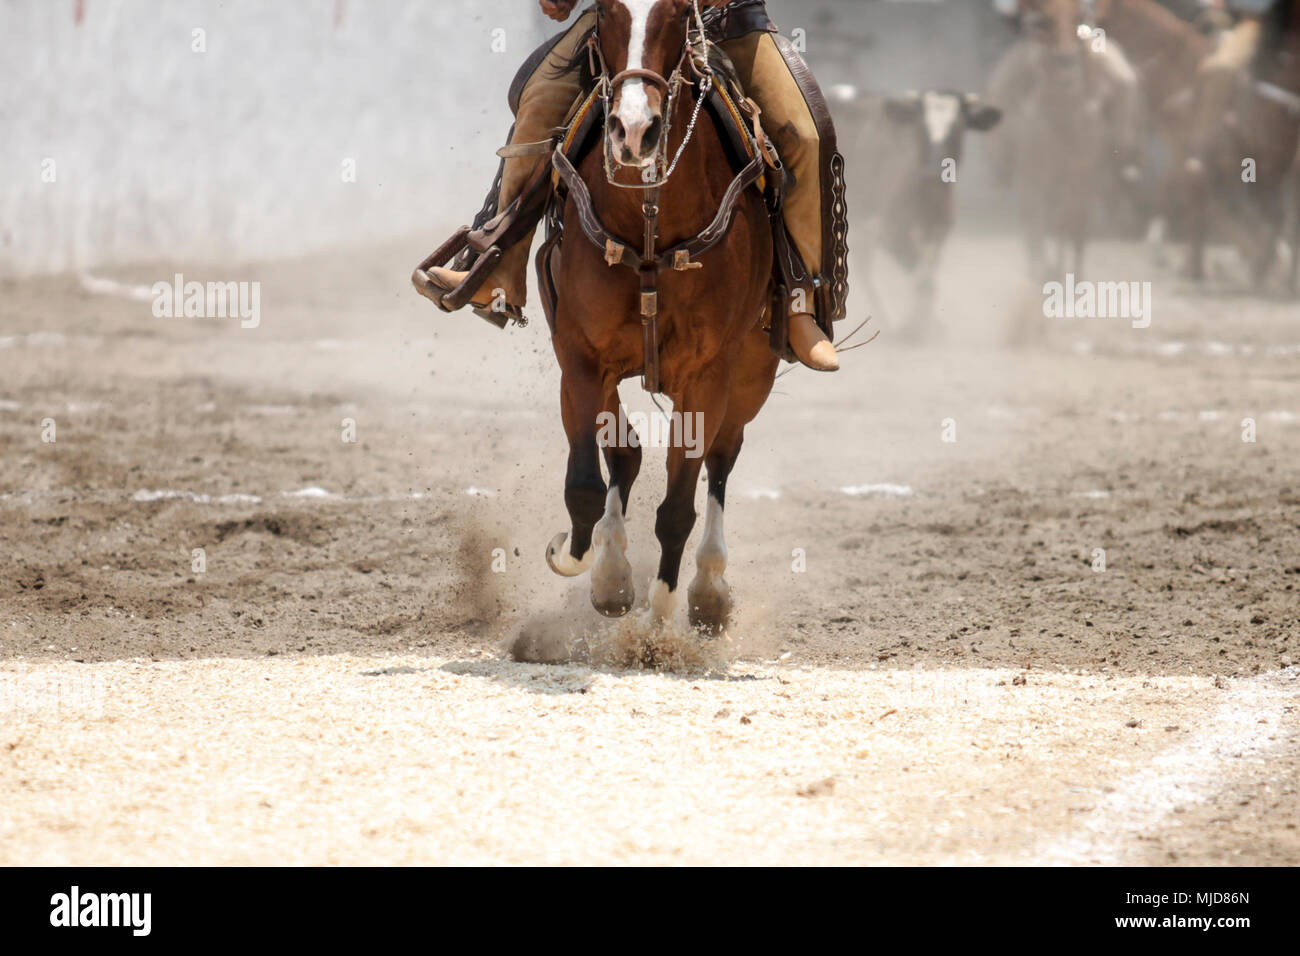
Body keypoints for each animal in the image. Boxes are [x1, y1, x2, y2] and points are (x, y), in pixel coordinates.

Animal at [538, 0, 769, 634]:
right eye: (602, 13)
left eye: (677, 13)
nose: (635, 131)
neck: (649, 223)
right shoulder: (580, 357)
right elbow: (586, 482)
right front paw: (595, 571)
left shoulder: (708, 377)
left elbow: (677, 509)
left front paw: (659, 616)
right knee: (626, 453)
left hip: (752, 375)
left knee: (722, 458)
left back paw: (708, 589)